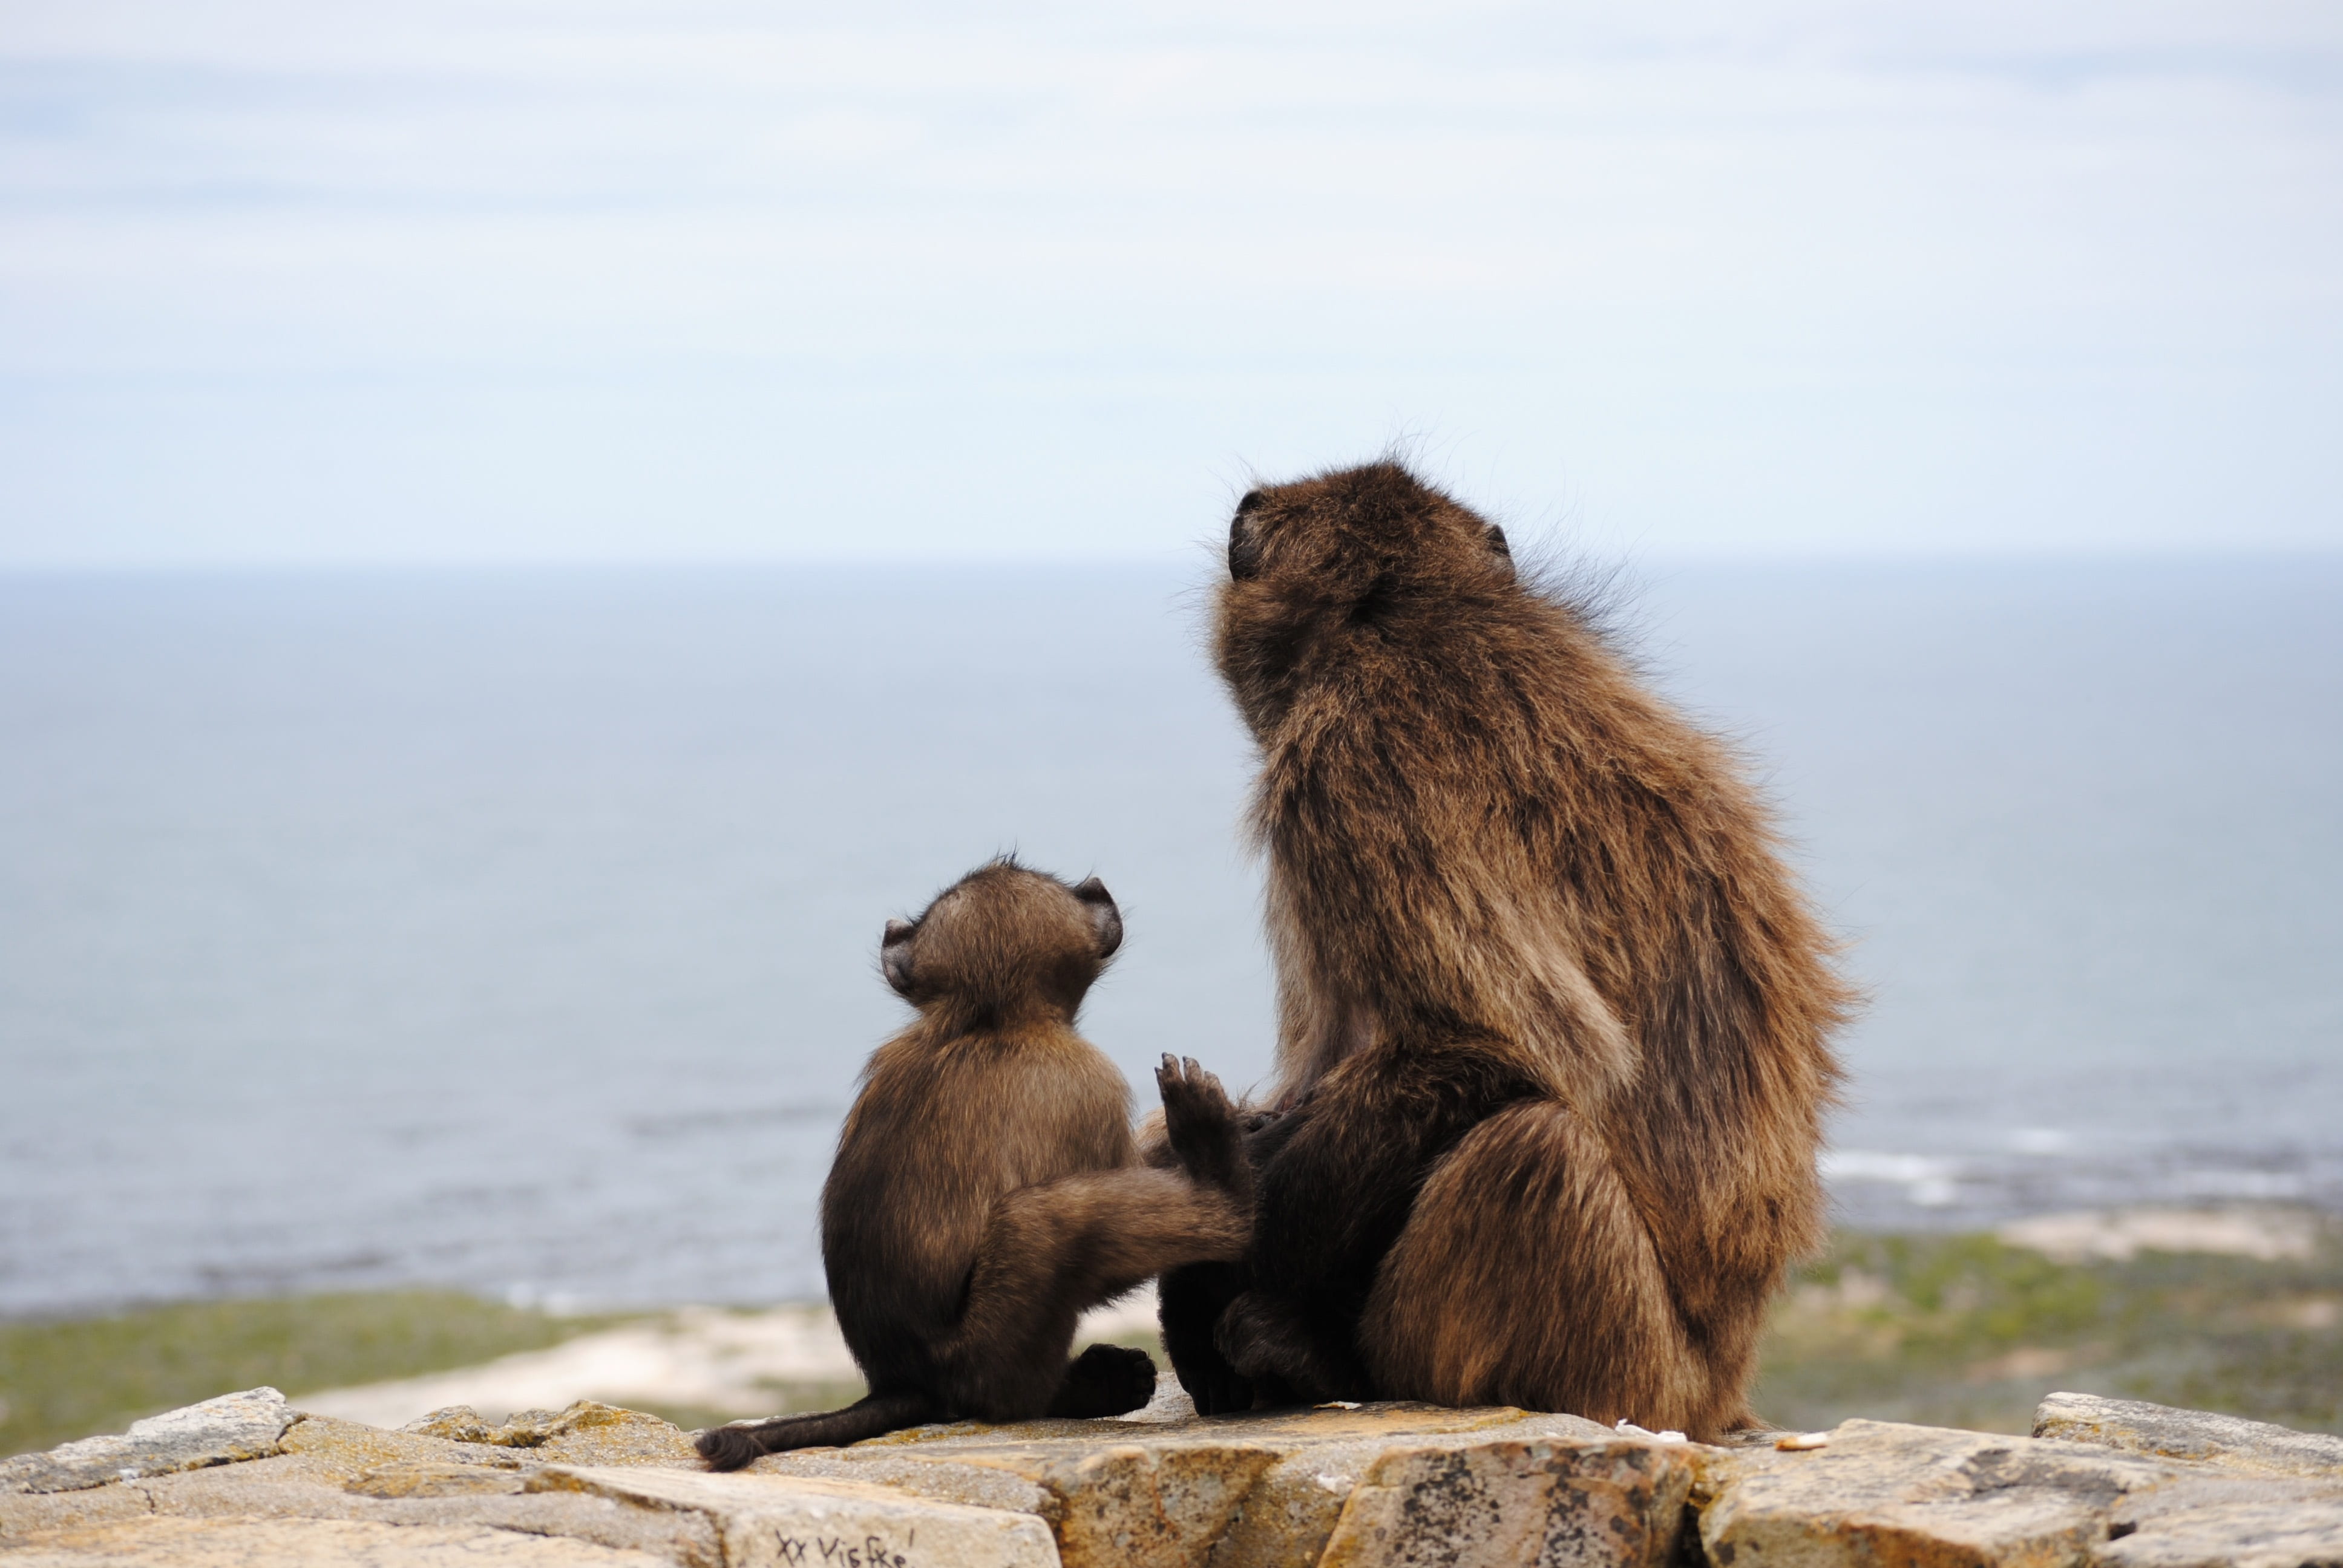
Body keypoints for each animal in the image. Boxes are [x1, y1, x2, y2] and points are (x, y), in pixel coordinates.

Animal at [697, 858, 1252, 1471]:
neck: (987, 1018)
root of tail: (905, 1379)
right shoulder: (1091, 1080)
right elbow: (1112, 1265)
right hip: (988, 1350)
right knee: (1040, 1222)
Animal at [1155, 462, 1853, 1441]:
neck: (1410, 619)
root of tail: (1717, 1394)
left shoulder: (1354, 769)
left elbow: (1504, 1044)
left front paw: (1213, 1257)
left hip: (1634, 1372)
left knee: (1535, 1152)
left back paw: (1312, 1354)